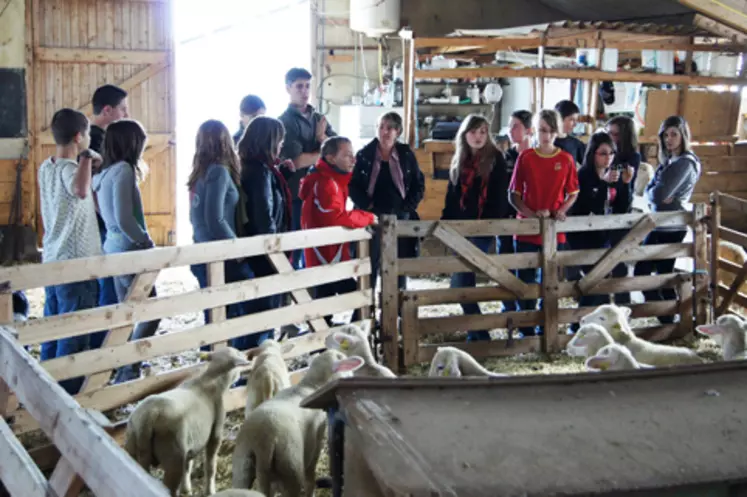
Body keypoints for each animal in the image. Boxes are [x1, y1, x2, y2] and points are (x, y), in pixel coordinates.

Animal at [124, 346, 250, 494]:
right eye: (238, 353)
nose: (246, 356)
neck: (210, 380)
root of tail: (149, 415)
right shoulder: (216, 433)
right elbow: (210, 466)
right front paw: (210, 491)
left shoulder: (191, 445)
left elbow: (188, 467)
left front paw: (186, 489)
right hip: (173, 457)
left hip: (132, 447)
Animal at [231, 348, 366, 496]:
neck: (309, 386)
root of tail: (262, 445)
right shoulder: (317, 440)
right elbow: (310, 476)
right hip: (290, 464)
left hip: (241, 465)